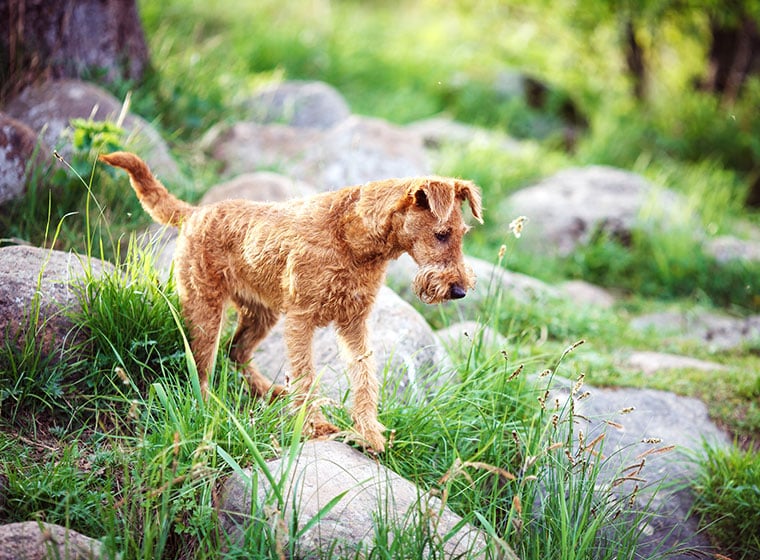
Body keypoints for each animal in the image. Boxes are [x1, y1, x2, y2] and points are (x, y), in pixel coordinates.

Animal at [99, 152, 480, 450]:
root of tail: (195, 213)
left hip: (261, 313)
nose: (459, 290)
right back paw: (209, 411)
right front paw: (316, 426)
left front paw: (369, 435)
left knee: (236, 352)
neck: (355, 241)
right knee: (202, 366)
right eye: (441, 234)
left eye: (462, 233)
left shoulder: (354, 323)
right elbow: (307, 376)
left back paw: (271, 393)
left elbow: (364, 378)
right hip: (206, 306)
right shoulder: (301, 319)